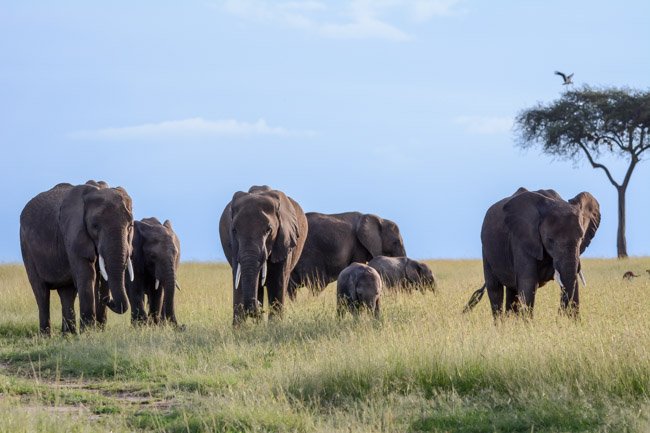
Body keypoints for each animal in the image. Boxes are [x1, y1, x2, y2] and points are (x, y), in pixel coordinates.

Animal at [219, 186, 308, 324]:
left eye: (268, 230)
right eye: (234, 230)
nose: (259, 307)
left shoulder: (284, 240)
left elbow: (278, 283)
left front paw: (275, 326)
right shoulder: (234, 247)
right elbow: (238, 282)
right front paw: (240, 328)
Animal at [460, 186, 596, 318]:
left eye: (581, 239)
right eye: (550, 240)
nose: (559, 313)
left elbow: (574, 282)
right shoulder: (521, 240)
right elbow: (528, 283)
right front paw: (528, 324)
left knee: (512, 292)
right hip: (487, 250)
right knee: (495, 289)